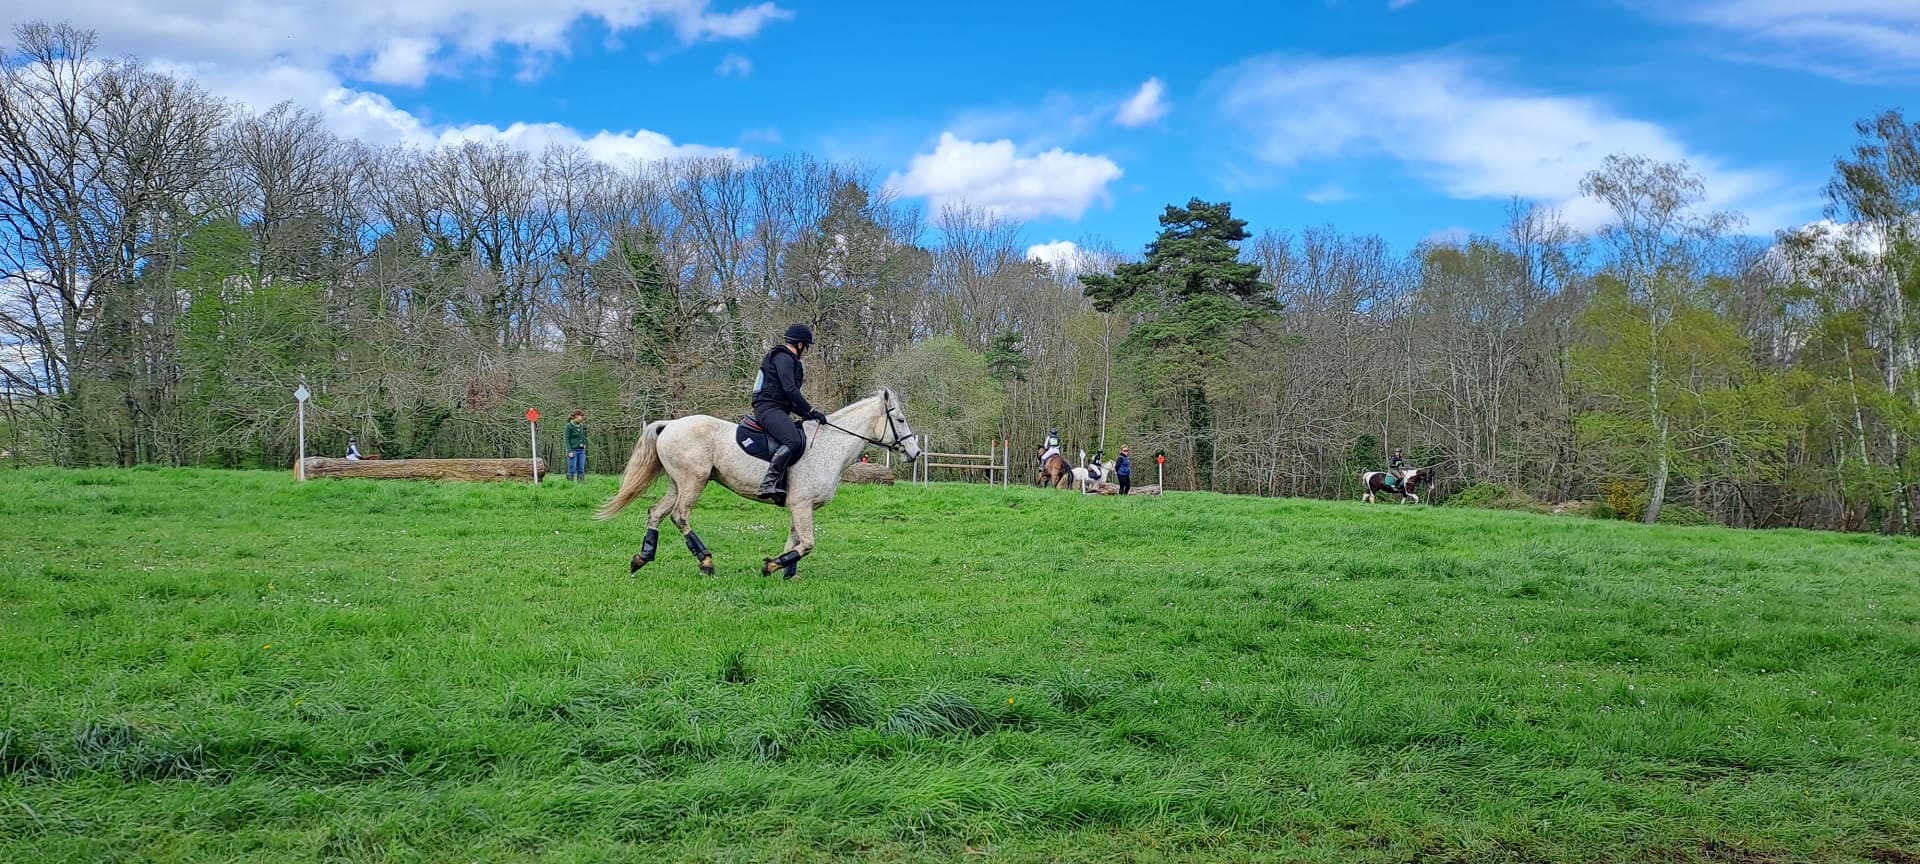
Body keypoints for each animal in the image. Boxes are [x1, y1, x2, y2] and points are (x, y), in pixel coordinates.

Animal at [596, 389, 920, 580]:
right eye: (901, 420)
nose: (915, 453)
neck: (830, 446)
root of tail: (671, 424)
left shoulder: (799, 506)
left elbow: (795, 542)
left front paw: (786, 573)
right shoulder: (802, 505)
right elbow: (807, 543)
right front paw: (772, 566)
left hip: (678, 482)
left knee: (656, 512)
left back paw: (642, 558)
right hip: (693, 481)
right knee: (680, 515)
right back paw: (706, 562)